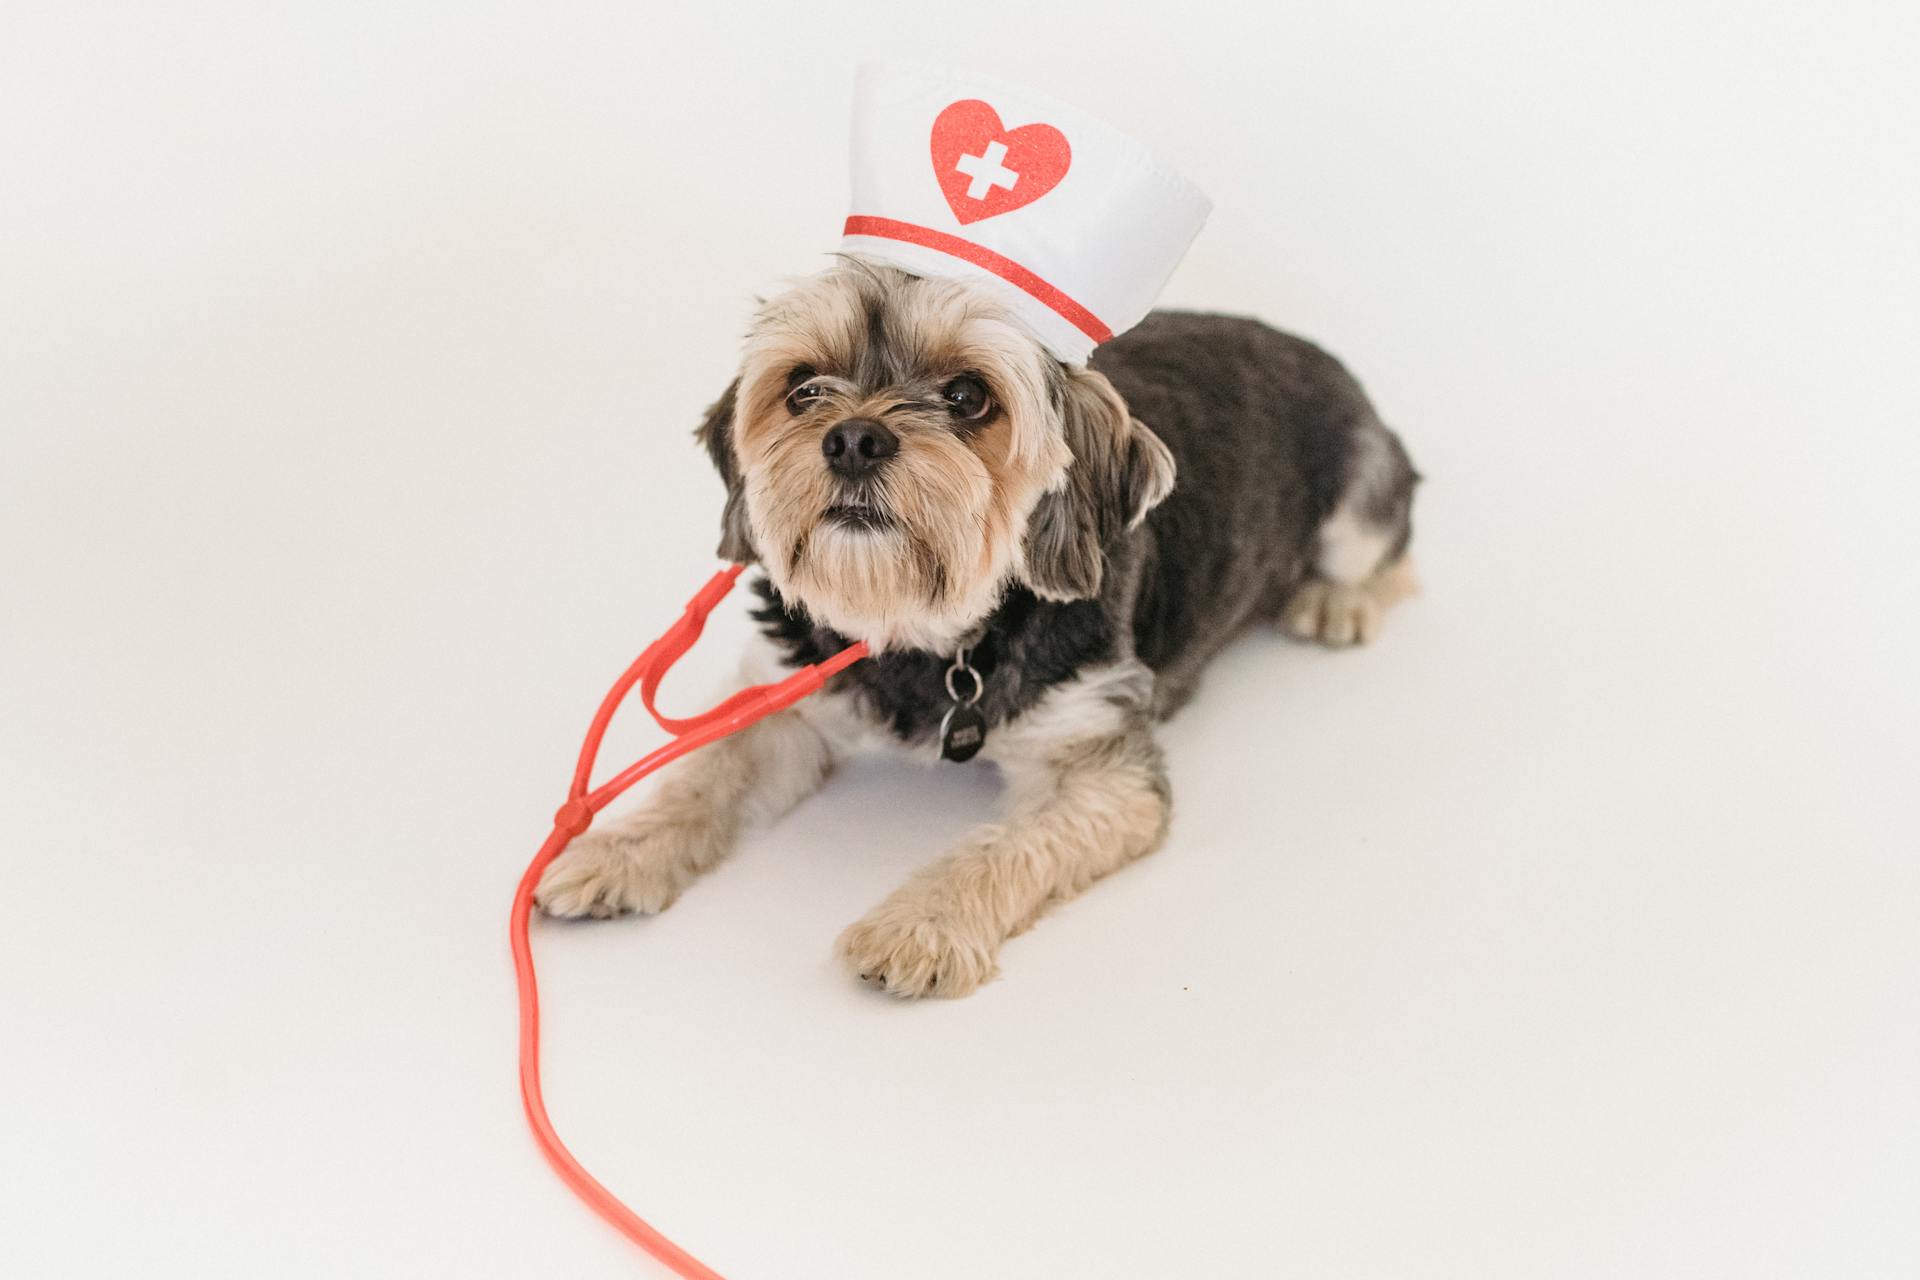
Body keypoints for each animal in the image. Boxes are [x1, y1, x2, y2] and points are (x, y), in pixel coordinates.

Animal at [533, 257, 1420, 997]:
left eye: (966, 397)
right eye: (803, 388)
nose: (853, 438)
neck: (928, 633)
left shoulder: (1100, 766)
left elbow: (1002, 848)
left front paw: (919, 926)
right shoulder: (786, 697)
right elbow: (703, 775)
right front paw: (614, 851)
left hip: (1360, 492)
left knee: (1392, 548)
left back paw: (1336, 602)